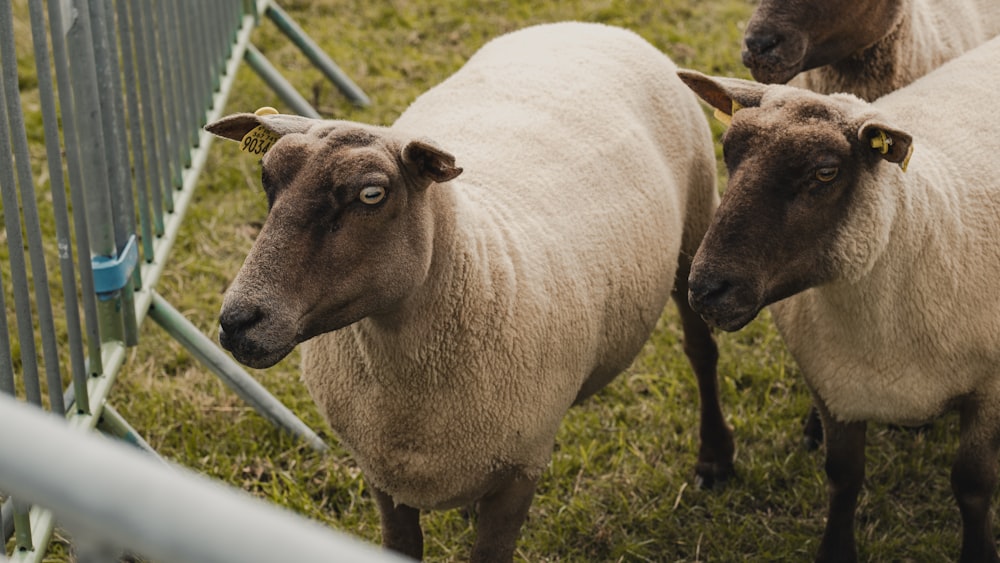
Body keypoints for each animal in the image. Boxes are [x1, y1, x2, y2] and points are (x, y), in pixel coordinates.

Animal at [205, 20, 736, 560]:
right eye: (267, 179)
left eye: (372, 194)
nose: (238, 320)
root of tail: (586, 24)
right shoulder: (382, 472)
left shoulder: (521, 467)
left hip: (696, 233)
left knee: (700, 350)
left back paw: (715, 460)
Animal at [680, 34, 1000, 563]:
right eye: (727, 152)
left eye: (826, 172)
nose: (705, 288)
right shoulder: (835, 385)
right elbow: (843, 478)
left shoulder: (989, 389)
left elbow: (973, 486)